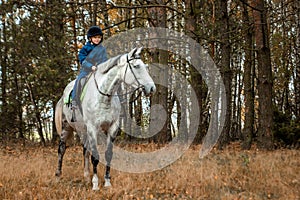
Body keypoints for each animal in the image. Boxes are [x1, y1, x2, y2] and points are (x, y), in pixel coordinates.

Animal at [54, 47, 156, 190]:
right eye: (136, 66)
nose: (152, 88)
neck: (104, 96)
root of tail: (63, 96)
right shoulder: (93, 128)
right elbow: (95, 157)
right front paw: (95, 184)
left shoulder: (112, 127)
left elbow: (108, 154)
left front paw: (107, 182)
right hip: (66, 127)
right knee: (61, 149)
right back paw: (58, 176)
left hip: (83, 129)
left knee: (85, 150)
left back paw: (86, 177)